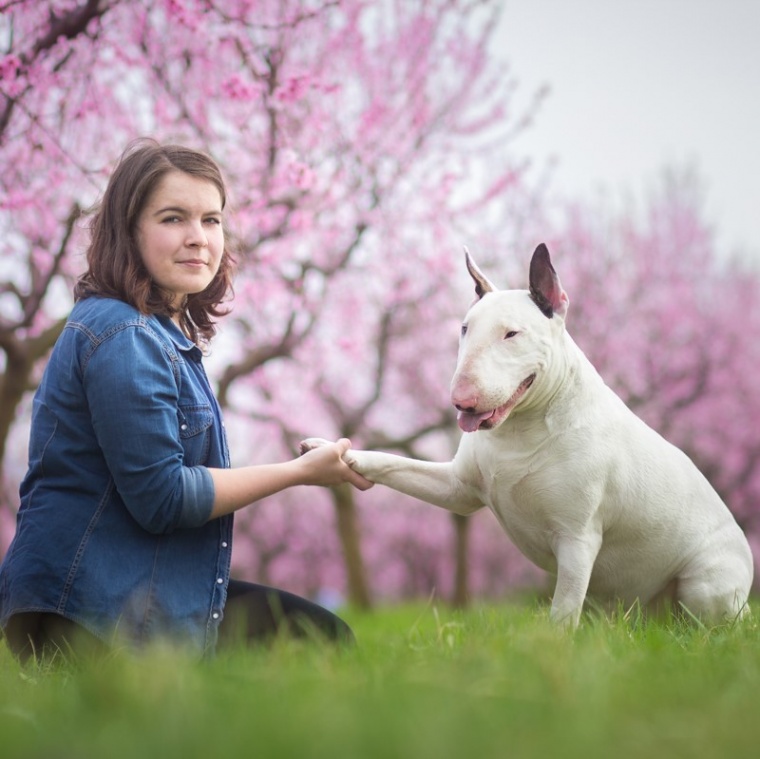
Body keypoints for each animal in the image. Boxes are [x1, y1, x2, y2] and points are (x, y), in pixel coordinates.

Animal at [302, 246, 748, 628]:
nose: (461, 401)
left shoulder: (577, 539)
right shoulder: (457, 489)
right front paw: (332, 454)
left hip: (705, 583)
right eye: (464, 329)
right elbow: (395, 464)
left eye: (511, 334)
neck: (519, 428)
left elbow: (562, 612)